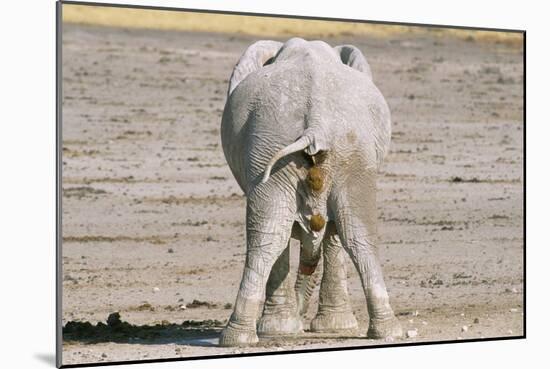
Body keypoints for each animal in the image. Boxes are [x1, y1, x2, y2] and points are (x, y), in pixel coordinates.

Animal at [218, 37, 404, 344]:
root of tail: (315, 125)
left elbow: (331, 233)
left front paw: (331, 327)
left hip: (334, 151)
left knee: (280, 235)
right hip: (300, 148)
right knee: (347, 235)